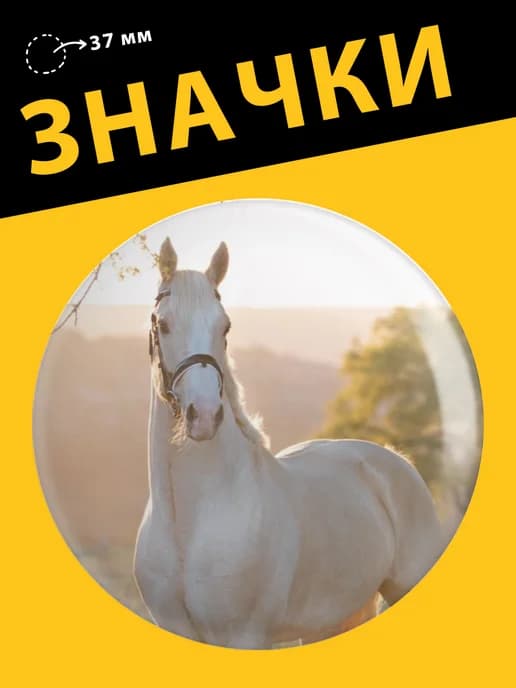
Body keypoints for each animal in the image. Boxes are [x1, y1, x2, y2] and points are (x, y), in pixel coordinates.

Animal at [133, 238, 444, 649]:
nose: (205, 415)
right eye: (163, 324)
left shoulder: (245, 635)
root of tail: (394, 461)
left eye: (225, 326)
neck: (188, 520)